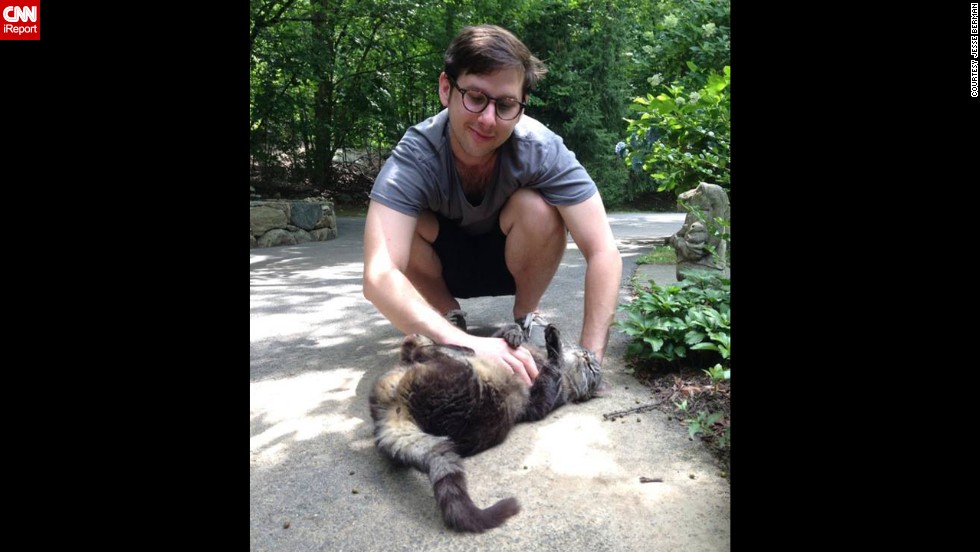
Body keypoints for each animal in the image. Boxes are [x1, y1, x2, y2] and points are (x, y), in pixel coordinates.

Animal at [370, 322, 604, 532]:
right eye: (588, 358)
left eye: (592, 368)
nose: (586, 355)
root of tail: (394, 409)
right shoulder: (503, 344)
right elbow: (502, 333)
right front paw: (516, 333)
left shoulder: (541, 398)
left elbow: (552, 366)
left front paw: (554, 343)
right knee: (417, 351)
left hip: (457, 378)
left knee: (431, 353)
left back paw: (445, 347)